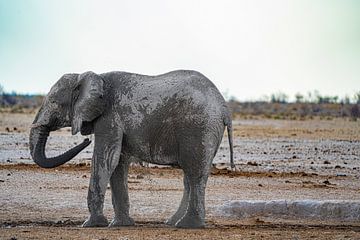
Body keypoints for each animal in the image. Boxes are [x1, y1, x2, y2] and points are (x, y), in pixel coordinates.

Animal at [29, 70, 235, 229]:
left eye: (54, 102)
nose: (86, 140)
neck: (92, 76)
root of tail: (224, 107)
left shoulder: (109, 117)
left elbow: (105, 159)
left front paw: (91, 225)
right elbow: (117, 164)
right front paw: (120, 224)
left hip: (199, 127)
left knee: (194, 173)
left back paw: (187, 225)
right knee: (190, 177)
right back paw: (172, 222)